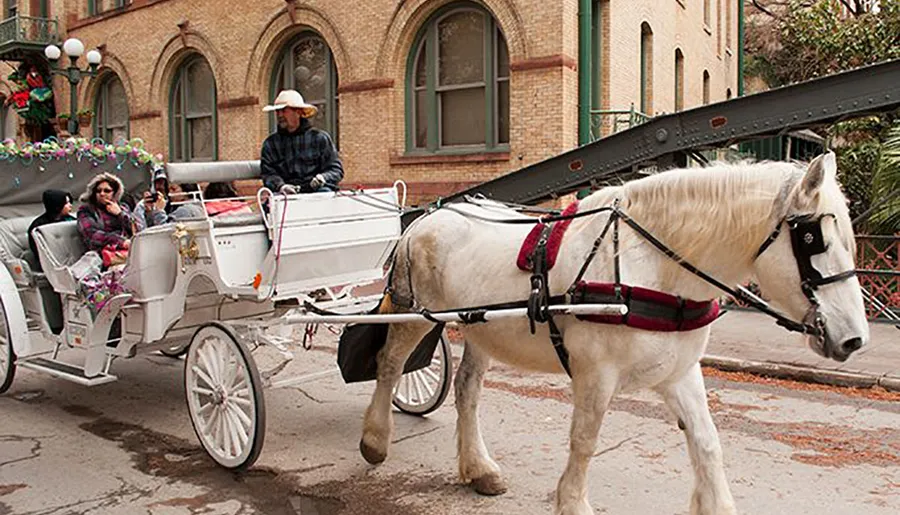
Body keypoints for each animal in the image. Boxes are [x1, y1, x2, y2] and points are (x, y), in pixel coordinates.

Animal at [360, 151, 872, 512]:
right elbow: (585, 441)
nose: (855, 338)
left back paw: (478, 467)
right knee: (390, 365)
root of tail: (428, 216)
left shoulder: (680, 372)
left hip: (481, 327)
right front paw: (572, 503)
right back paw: (375, 440)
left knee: (467, 390)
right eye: (814, 240)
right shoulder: (596, 374)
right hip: (412, 315)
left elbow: (706, 442)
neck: (654, 269)